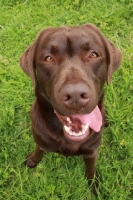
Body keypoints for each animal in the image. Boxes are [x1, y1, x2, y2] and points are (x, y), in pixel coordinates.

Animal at [19, 23, 122, 194]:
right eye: (48, 58)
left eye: (93, 54)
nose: (75, 95)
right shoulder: (40, 139)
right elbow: (39, 150)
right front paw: (33, 160)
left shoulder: (91, 151)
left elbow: (91, 170)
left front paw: (94, 186)